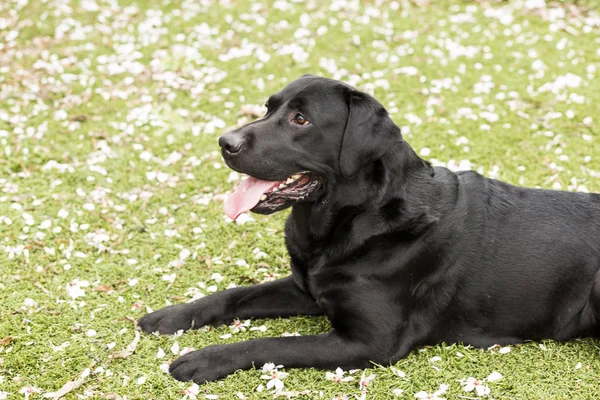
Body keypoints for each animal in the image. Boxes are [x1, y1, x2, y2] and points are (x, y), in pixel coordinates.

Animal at [138, 75, 600, 384]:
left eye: (301, 119)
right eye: (269, 109)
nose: (225, 142)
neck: (350, 222)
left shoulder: (369, 342)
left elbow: (273, 343)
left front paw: (204, 359)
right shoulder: (307, 287)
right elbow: (233, 294)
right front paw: (171, 316)